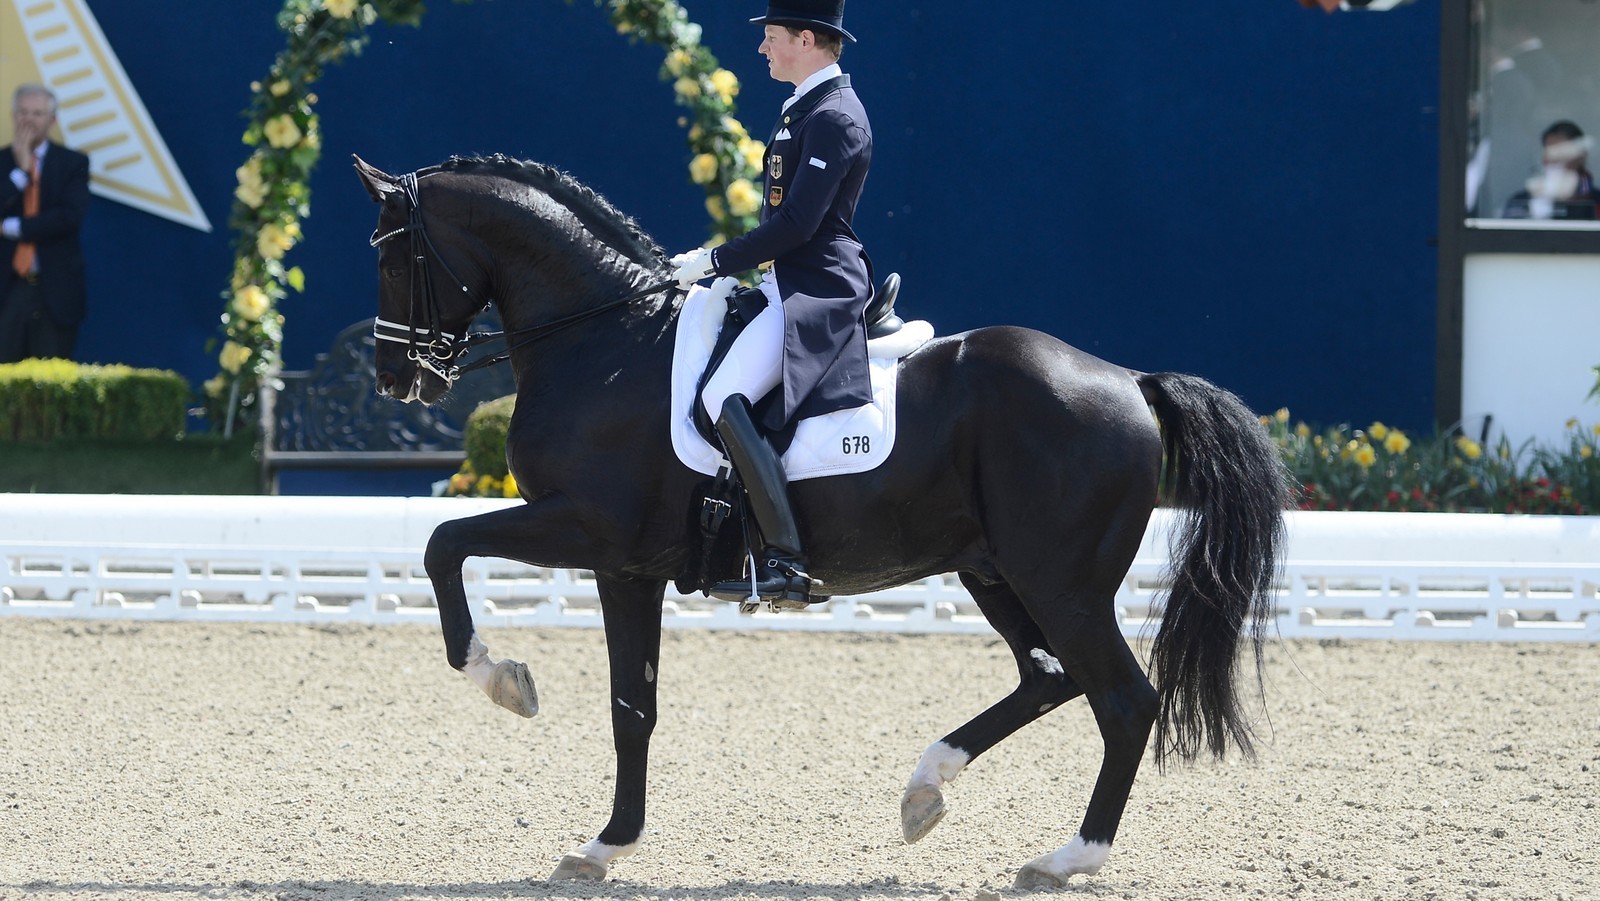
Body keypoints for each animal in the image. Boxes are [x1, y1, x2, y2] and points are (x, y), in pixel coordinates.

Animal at [356, 153, 1292, 889]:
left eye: (392, 257)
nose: (399, 378)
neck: (605, 342)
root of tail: (1130, 379)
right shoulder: (626, 567)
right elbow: (632, 707)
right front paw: (603, 846)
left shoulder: (589, 530)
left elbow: (444, 545)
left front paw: (501, 676)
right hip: (991, 568)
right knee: (1047, 677)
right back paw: (925, 790)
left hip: (1061, 582)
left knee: (1124, 701)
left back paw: (1066, 857)